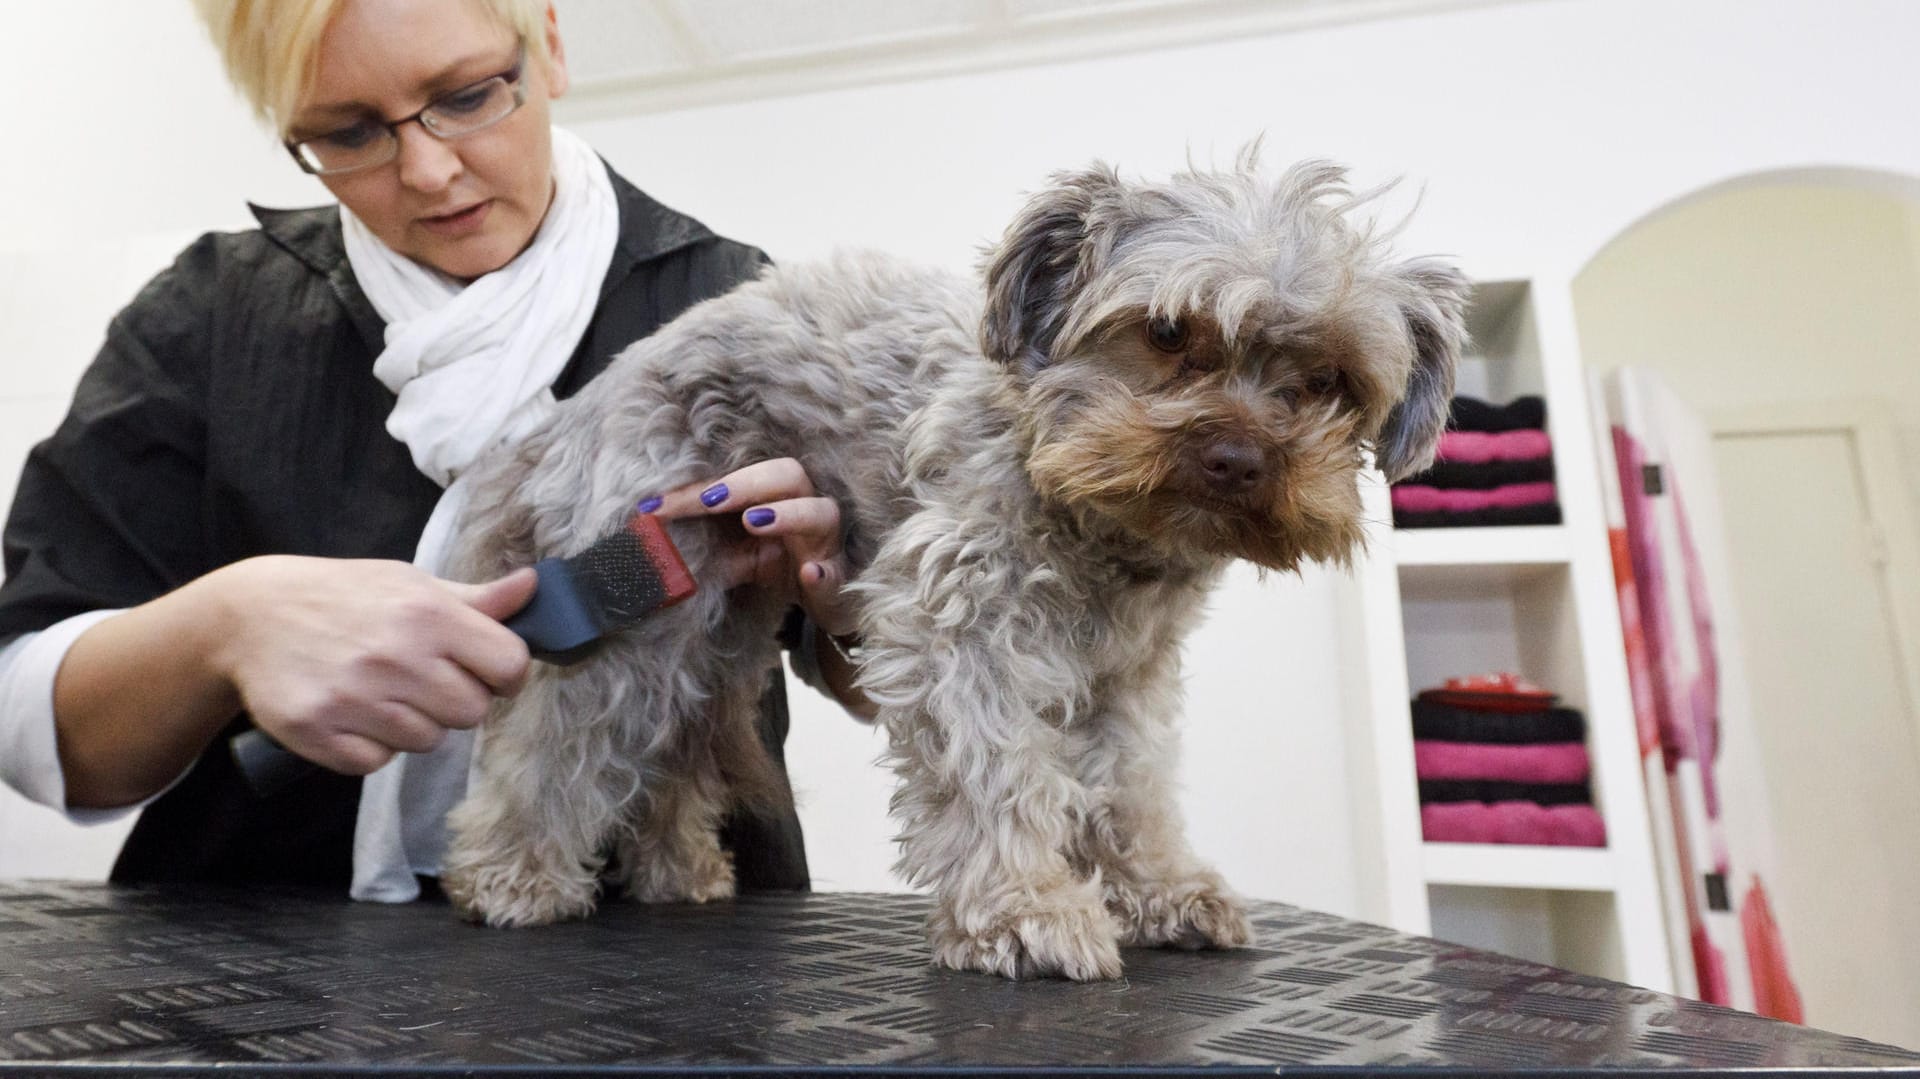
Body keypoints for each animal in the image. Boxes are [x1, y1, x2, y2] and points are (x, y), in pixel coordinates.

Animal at [441, 155, 1459, 979]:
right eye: (1168, 333)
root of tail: (576, 410)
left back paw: (678, 869)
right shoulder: (959, 621)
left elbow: (1131, 784)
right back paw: (511, 873)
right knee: (559, 741)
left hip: (724, 618)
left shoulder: (1126, 671)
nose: (1240, 458)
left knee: (678, 739)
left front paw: (1163, 888)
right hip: (645, 591)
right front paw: (1025, 911)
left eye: (1330, 380)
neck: (1091, 509)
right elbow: (997, 768)